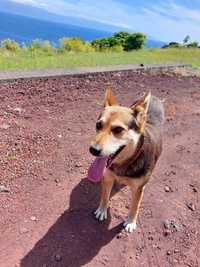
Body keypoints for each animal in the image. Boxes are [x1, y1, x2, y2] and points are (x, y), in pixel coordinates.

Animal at [88, 87, 164, 232]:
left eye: (118, 129)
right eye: (98, 125)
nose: (93, 150)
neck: (126, 162)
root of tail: (154, 98)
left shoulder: (139, 188)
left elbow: (135, 206)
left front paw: (130, 222)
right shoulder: (107, 177)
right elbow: (104, 196)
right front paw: (102, 210)